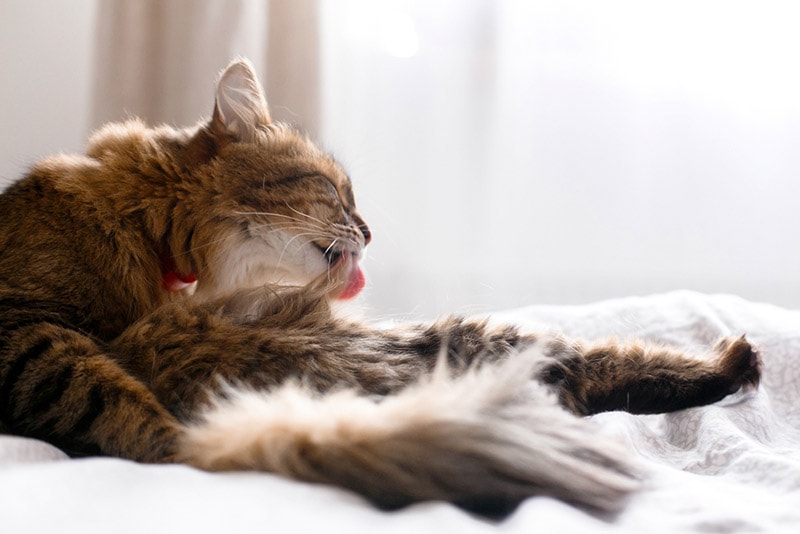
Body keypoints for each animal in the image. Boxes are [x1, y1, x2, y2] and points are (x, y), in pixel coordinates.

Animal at [0, 58, 760, 516]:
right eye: (337, 194)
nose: (369, 230)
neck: (153, 228)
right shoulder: (27, 325)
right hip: (477, 341)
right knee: (608, 369)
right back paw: (735, 360)